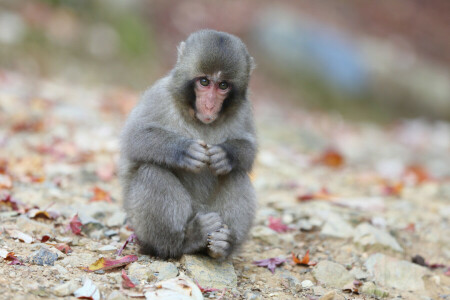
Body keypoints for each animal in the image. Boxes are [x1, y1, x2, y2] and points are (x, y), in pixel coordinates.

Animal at [119, 29, 256, 260]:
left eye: (223, 85)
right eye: (204, 82)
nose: (209, 105)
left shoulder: (244, 110)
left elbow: (250, 149)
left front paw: (225, 154)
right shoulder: (160, 95)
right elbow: (134, 137)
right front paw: (185, 151)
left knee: (237, 174)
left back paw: (223, 245)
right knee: (151, 172)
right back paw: (184, 241)